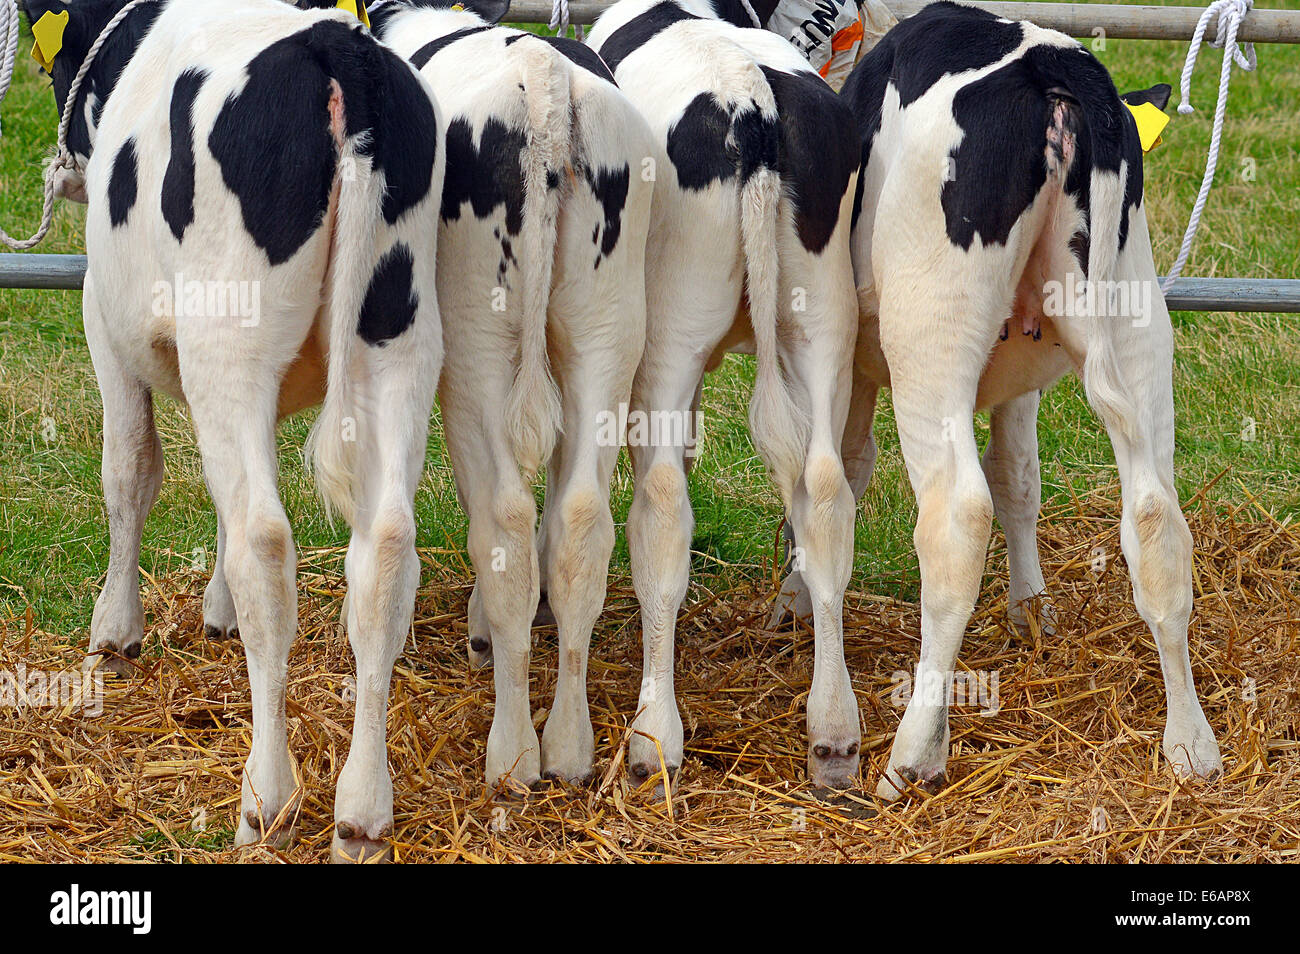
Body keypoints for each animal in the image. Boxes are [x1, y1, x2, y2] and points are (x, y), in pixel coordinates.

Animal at [21, 0, 441, 863]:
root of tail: (334, 44)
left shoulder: (104, 320)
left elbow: (130, 472)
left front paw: (114, 633)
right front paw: (214, 612)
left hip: (230, 343)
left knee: (266, 544)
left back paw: (265, 801)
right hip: (399, 343)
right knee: (385, 547)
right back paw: (362, 813)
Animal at [369, 0, 655, 790]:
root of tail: (544, 72)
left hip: (476, 345)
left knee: (502, 521)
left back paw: (514, 752)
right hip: (606, 326)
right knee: (582, 518)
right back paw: (569, 746)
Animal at [587, 0, 868, 790]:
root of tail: (751, 99)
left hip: (668, 334)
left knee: (659, 508)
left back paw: (655, 735)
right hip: (823, 322)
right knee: (825, 490)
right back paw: (833, 731)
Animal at [780, 1, 1227, 800]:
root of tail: (1054, 64)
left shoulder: (846, 357)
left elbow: (839, 478)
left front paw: (795, 602)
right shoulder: (1019, 375)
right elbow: (1019, 476)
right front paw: (1029, 612)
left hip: (931, 340)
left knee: (957, 517)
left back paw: (913, 755)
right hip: (1138, 327)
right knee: (1155, 516)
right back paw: (1191, 745)